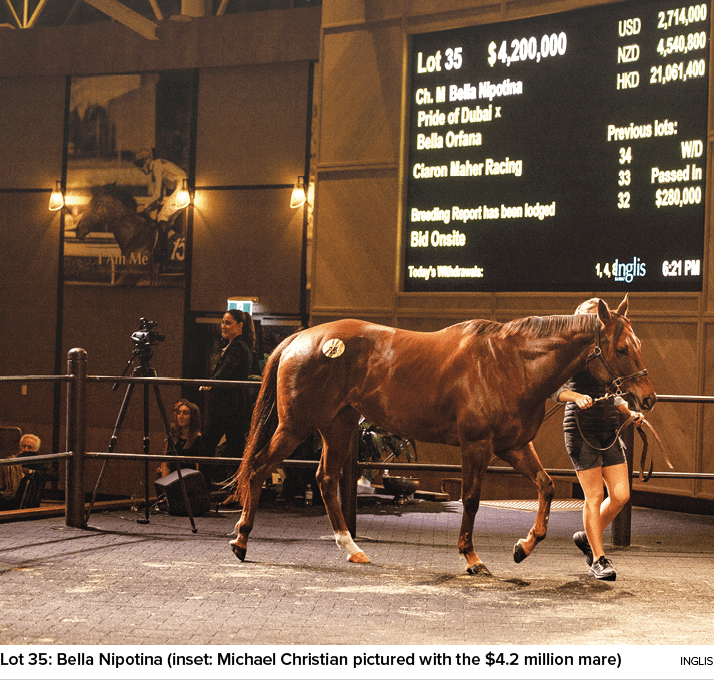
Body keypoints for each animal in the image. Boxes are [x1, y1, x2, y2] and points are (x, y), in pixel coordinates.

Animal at [228, 295, 656, 575]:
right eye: (621, 348)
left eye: (638, 344)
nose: (646, 398)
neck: (510, 364)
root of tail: (298, 339)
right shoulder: (477, 445)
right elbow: (470, 500)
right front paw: (472, 558)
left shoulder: (514, 446)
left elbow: (547, 486)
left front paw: (523, 547)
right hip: (296, 426)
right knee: (259, 469)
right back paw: (241, 541)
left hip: (340, 426)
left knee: (326, 478)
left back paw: (352, 549)